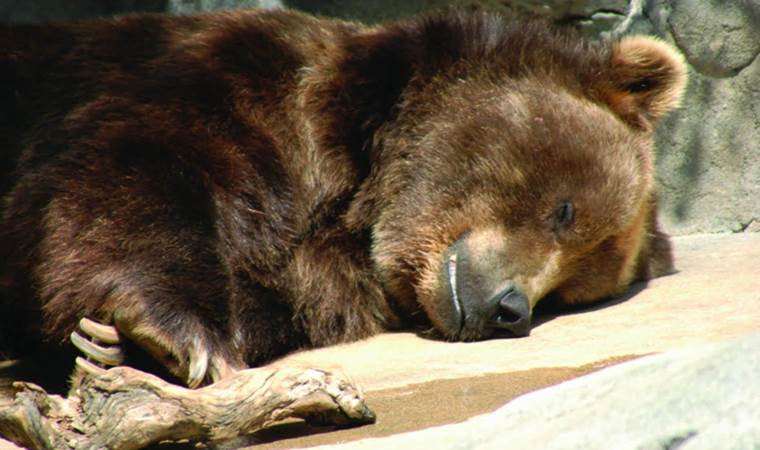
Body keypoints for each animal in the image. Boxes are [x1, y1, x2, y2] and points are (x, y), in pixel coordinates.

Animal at [0, 7, 684, 386]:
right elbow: (136, 167)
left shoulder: (309, 281)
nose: (508, 309)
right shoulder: (240, 89)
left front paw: (115, 343)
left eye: (569, 292)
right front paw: (182, 338)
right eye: (565, 211)